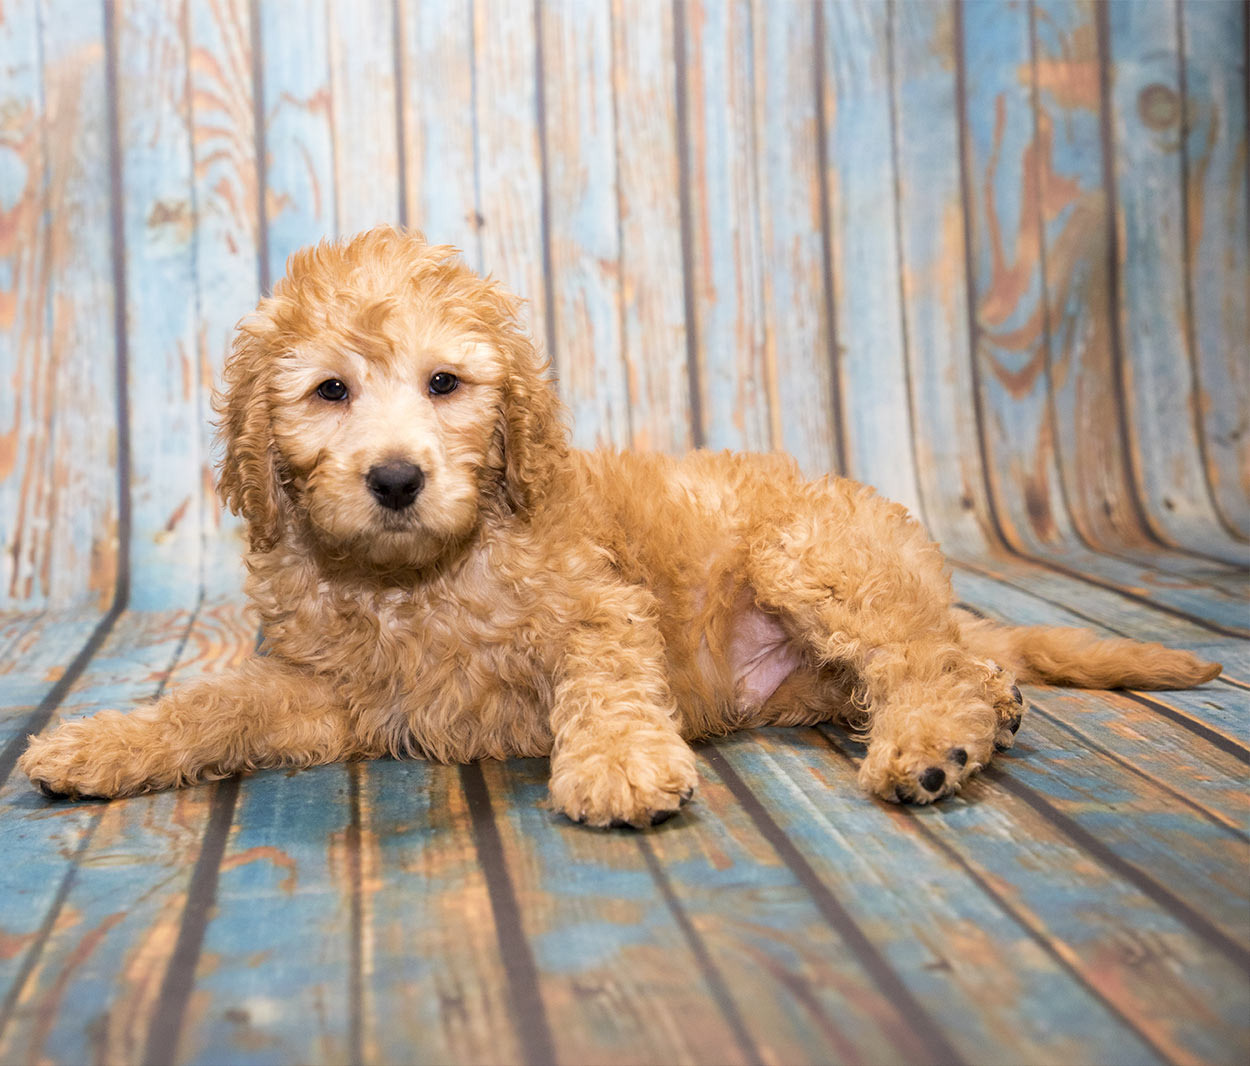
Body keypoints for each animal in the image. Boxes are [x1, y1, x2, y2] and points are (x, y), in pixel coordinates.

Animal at [19, 224, 1225, 824]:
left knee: (927, 660)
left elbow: (603, 678)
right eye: (328, 393)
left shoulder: (594, 605)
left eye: (445, 383)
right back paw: (997, 708)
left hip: (814, 556)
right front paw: (104, 741)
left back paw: (934, 744)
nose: (397, 479)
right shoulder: (323, 689)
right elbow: (216, 706)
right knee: (960, 656)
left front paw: (614, 766)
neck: (418, 580)